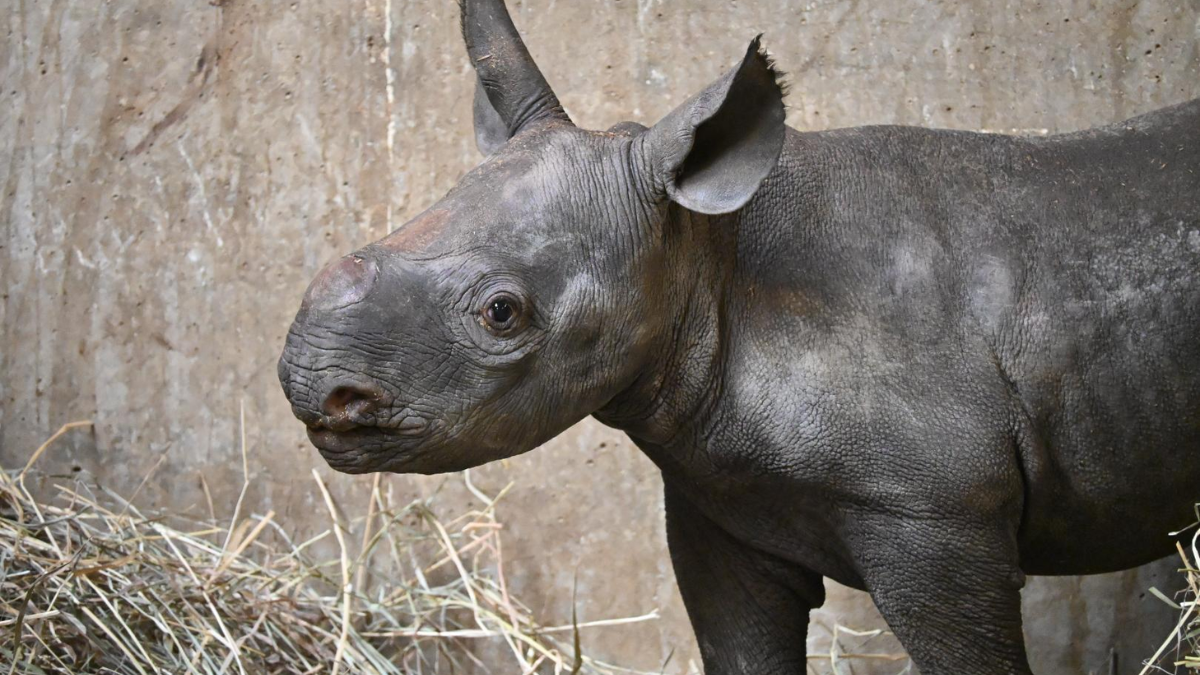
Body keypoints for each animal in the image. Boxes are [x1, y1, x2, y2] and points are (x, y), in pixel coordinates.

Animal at [277, 1, 1200, 672]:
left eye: (501, 313)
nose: (313, 386)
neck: (707, 254)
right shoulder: (720, 498)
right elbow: (742, 646)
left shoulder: (936, 514)